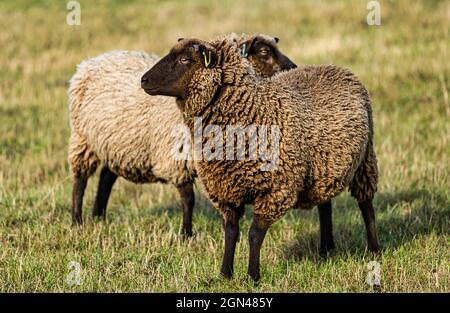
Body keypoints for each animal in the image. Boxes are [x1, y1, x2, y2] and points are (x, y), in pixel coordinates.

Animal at [66, 34, 296, 236]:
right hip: (83, 138)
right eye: (265, 52)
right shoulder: (177, 157)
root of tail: (92, 61)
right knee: (80, 180)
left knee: (107, 176)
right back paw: (77, 221)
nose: (293, 68)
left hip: (119, 144)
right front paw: (186, 234)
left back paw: (99, 217)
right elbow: (188, 199)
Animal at [141, 34, 380, 280]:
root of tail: (336, 67)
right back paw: (325, 249)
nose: (144, 80)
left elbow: (254, 234)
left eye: (185, 59)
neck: (254, 110)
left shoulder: (276, 189)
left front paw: (252, 276)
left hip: (365, 160)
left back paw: (374, 250)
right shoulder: (225, 190)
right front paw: (225, 274)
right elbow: (231, 232)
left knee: (366, 205)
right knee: (325, 205)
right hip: (323, 168)